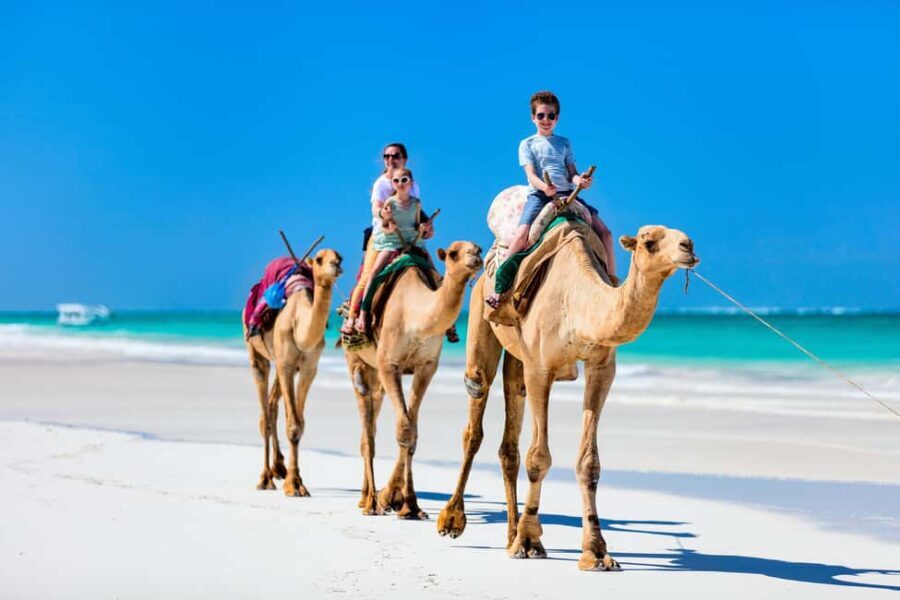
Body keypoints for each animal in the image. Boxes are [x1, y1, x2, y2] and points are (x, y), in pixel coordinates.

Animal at [243, 248, 343, 495]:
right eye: (320, 259)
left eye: (340, 257)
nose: (335, 265)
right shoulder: (286, 364)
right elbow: (294, 424)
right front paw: (294, 485)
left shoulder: (307, 368)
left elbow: (298, 423)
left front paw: (295, 480)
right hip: (258, 355)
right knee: (264, 415)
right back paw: (265, 478)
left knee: (272, 404)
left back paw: (279, 468)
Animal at [344, 241, 483, 518]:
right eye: (453, 253)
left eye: (478, 248)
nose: (475, 256)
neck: (413, 316)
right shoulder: (389, 364)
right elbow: (405, 427)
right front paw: (396, 501)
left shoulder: (426, 367)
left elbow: (412, 429)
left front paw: (404, 502)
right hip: (358, 363)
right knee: (367, 432)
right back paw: (370, 503)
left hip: (376, 375)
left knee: (372, 423)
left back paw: (366, 497)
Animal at [436, 223, 699, 571]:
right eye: (649, 242)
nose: (688, 246)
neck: (576, 303)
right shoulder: (540, 368)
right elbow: (538, 457)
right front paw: (530, 542)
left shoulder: (602, 368)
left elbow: (589, 462)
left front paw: (596, 551)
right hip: (482, 316)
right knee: (475, 410)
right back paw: (453, 520)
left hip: (517, 359)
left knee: (510, 435)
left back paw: (510, 535)